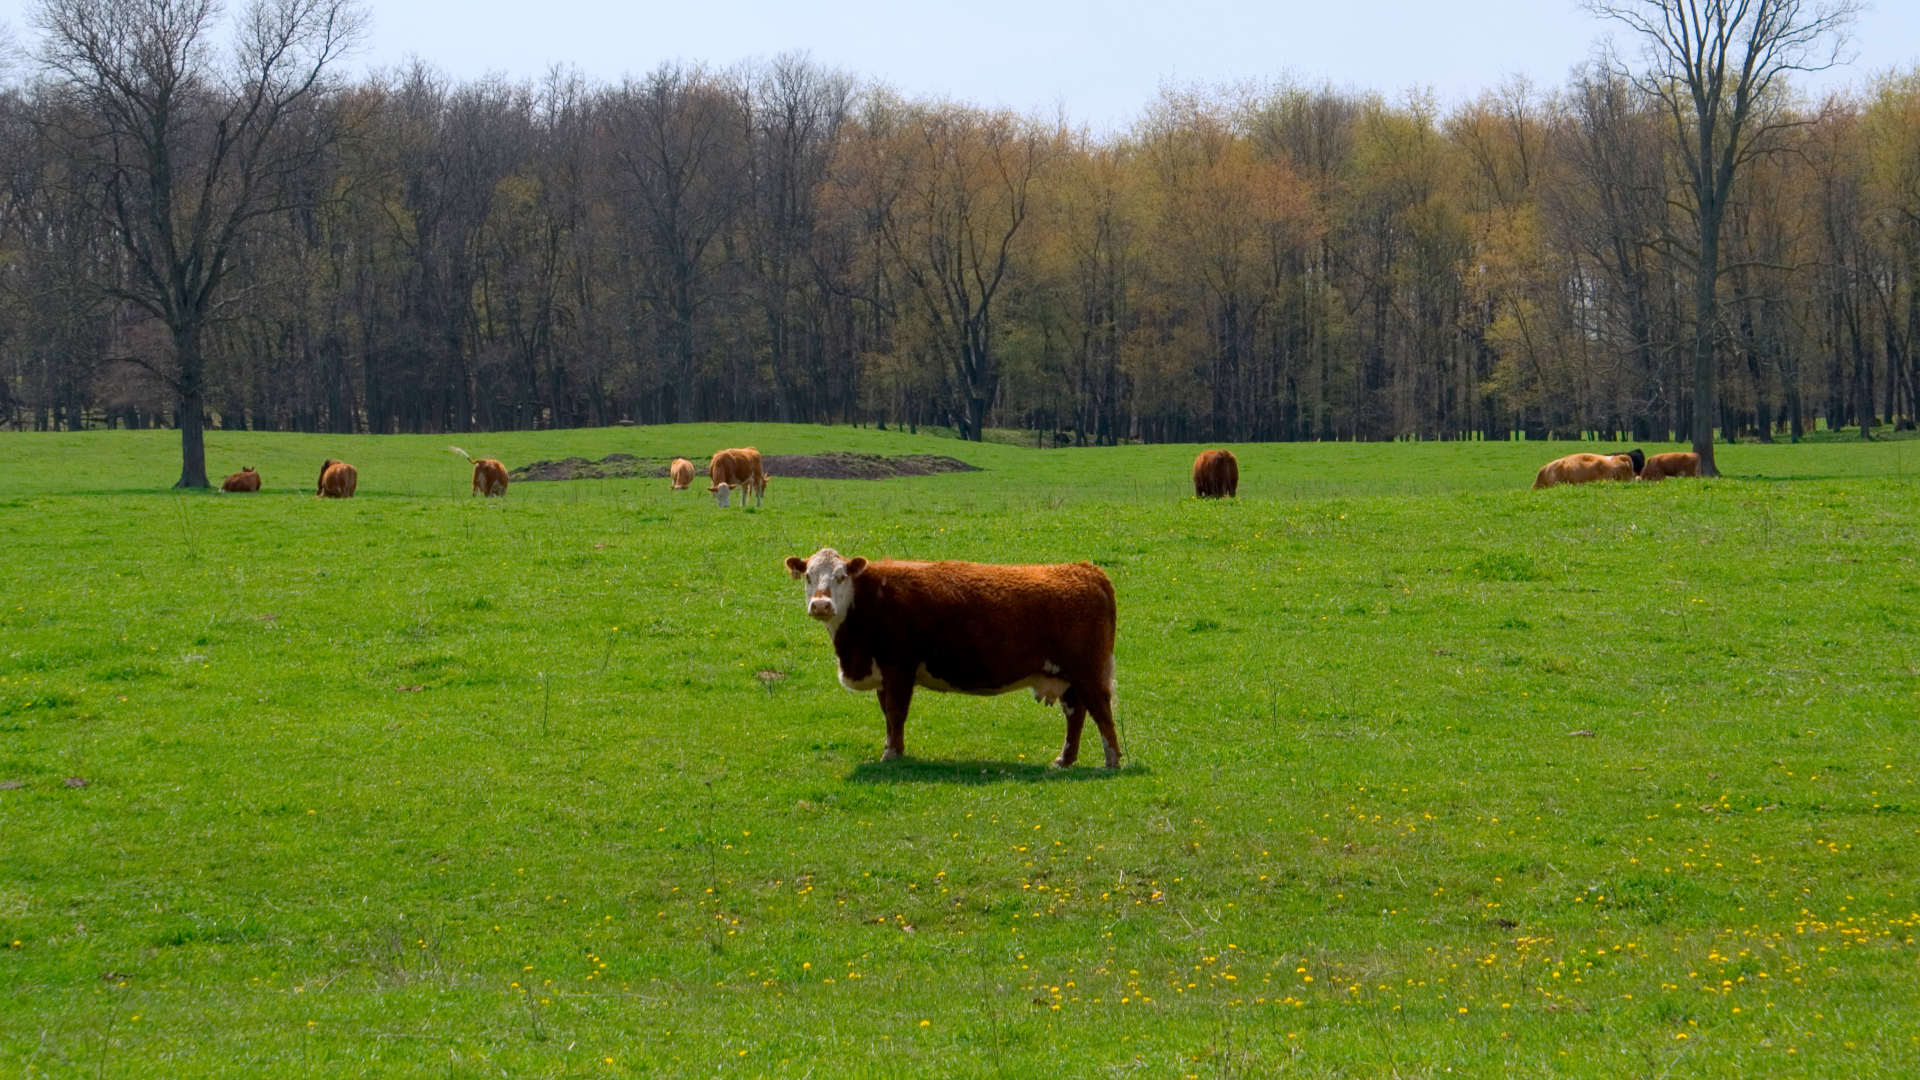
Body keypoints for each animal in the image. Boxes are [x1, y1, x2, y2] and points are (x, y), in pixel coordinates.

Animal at [783, 545, 1121, 764]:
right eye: (808, 576)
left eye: (840, 576)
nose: (821, 605)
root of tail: (1085, 570)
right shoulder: (883, 674)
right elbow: (888, 716)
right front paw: (895, 749)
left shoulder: (899, 669)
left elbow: (895, 712)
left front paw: (891, 754)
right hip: (1068, 678)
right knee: (1076, 714)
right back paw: (1064, 760)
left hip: (1088, 673)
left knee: (1101, 713)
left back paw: (1112, 760)